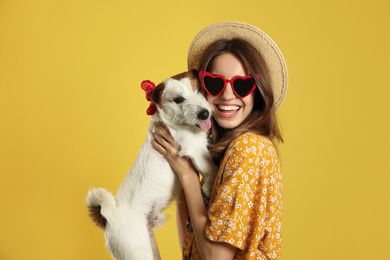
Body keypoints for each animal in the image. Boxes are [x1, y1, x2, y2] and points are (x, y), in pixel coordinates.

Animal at [86, 70, 218, 260]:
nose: (204, 114)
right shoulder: (196, 149)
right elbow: (211, 168)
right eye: (179, 99)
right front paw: (208, 187)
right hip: (137, 253)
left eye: (200, 89)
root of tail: (109, 220)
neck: (174, 123)